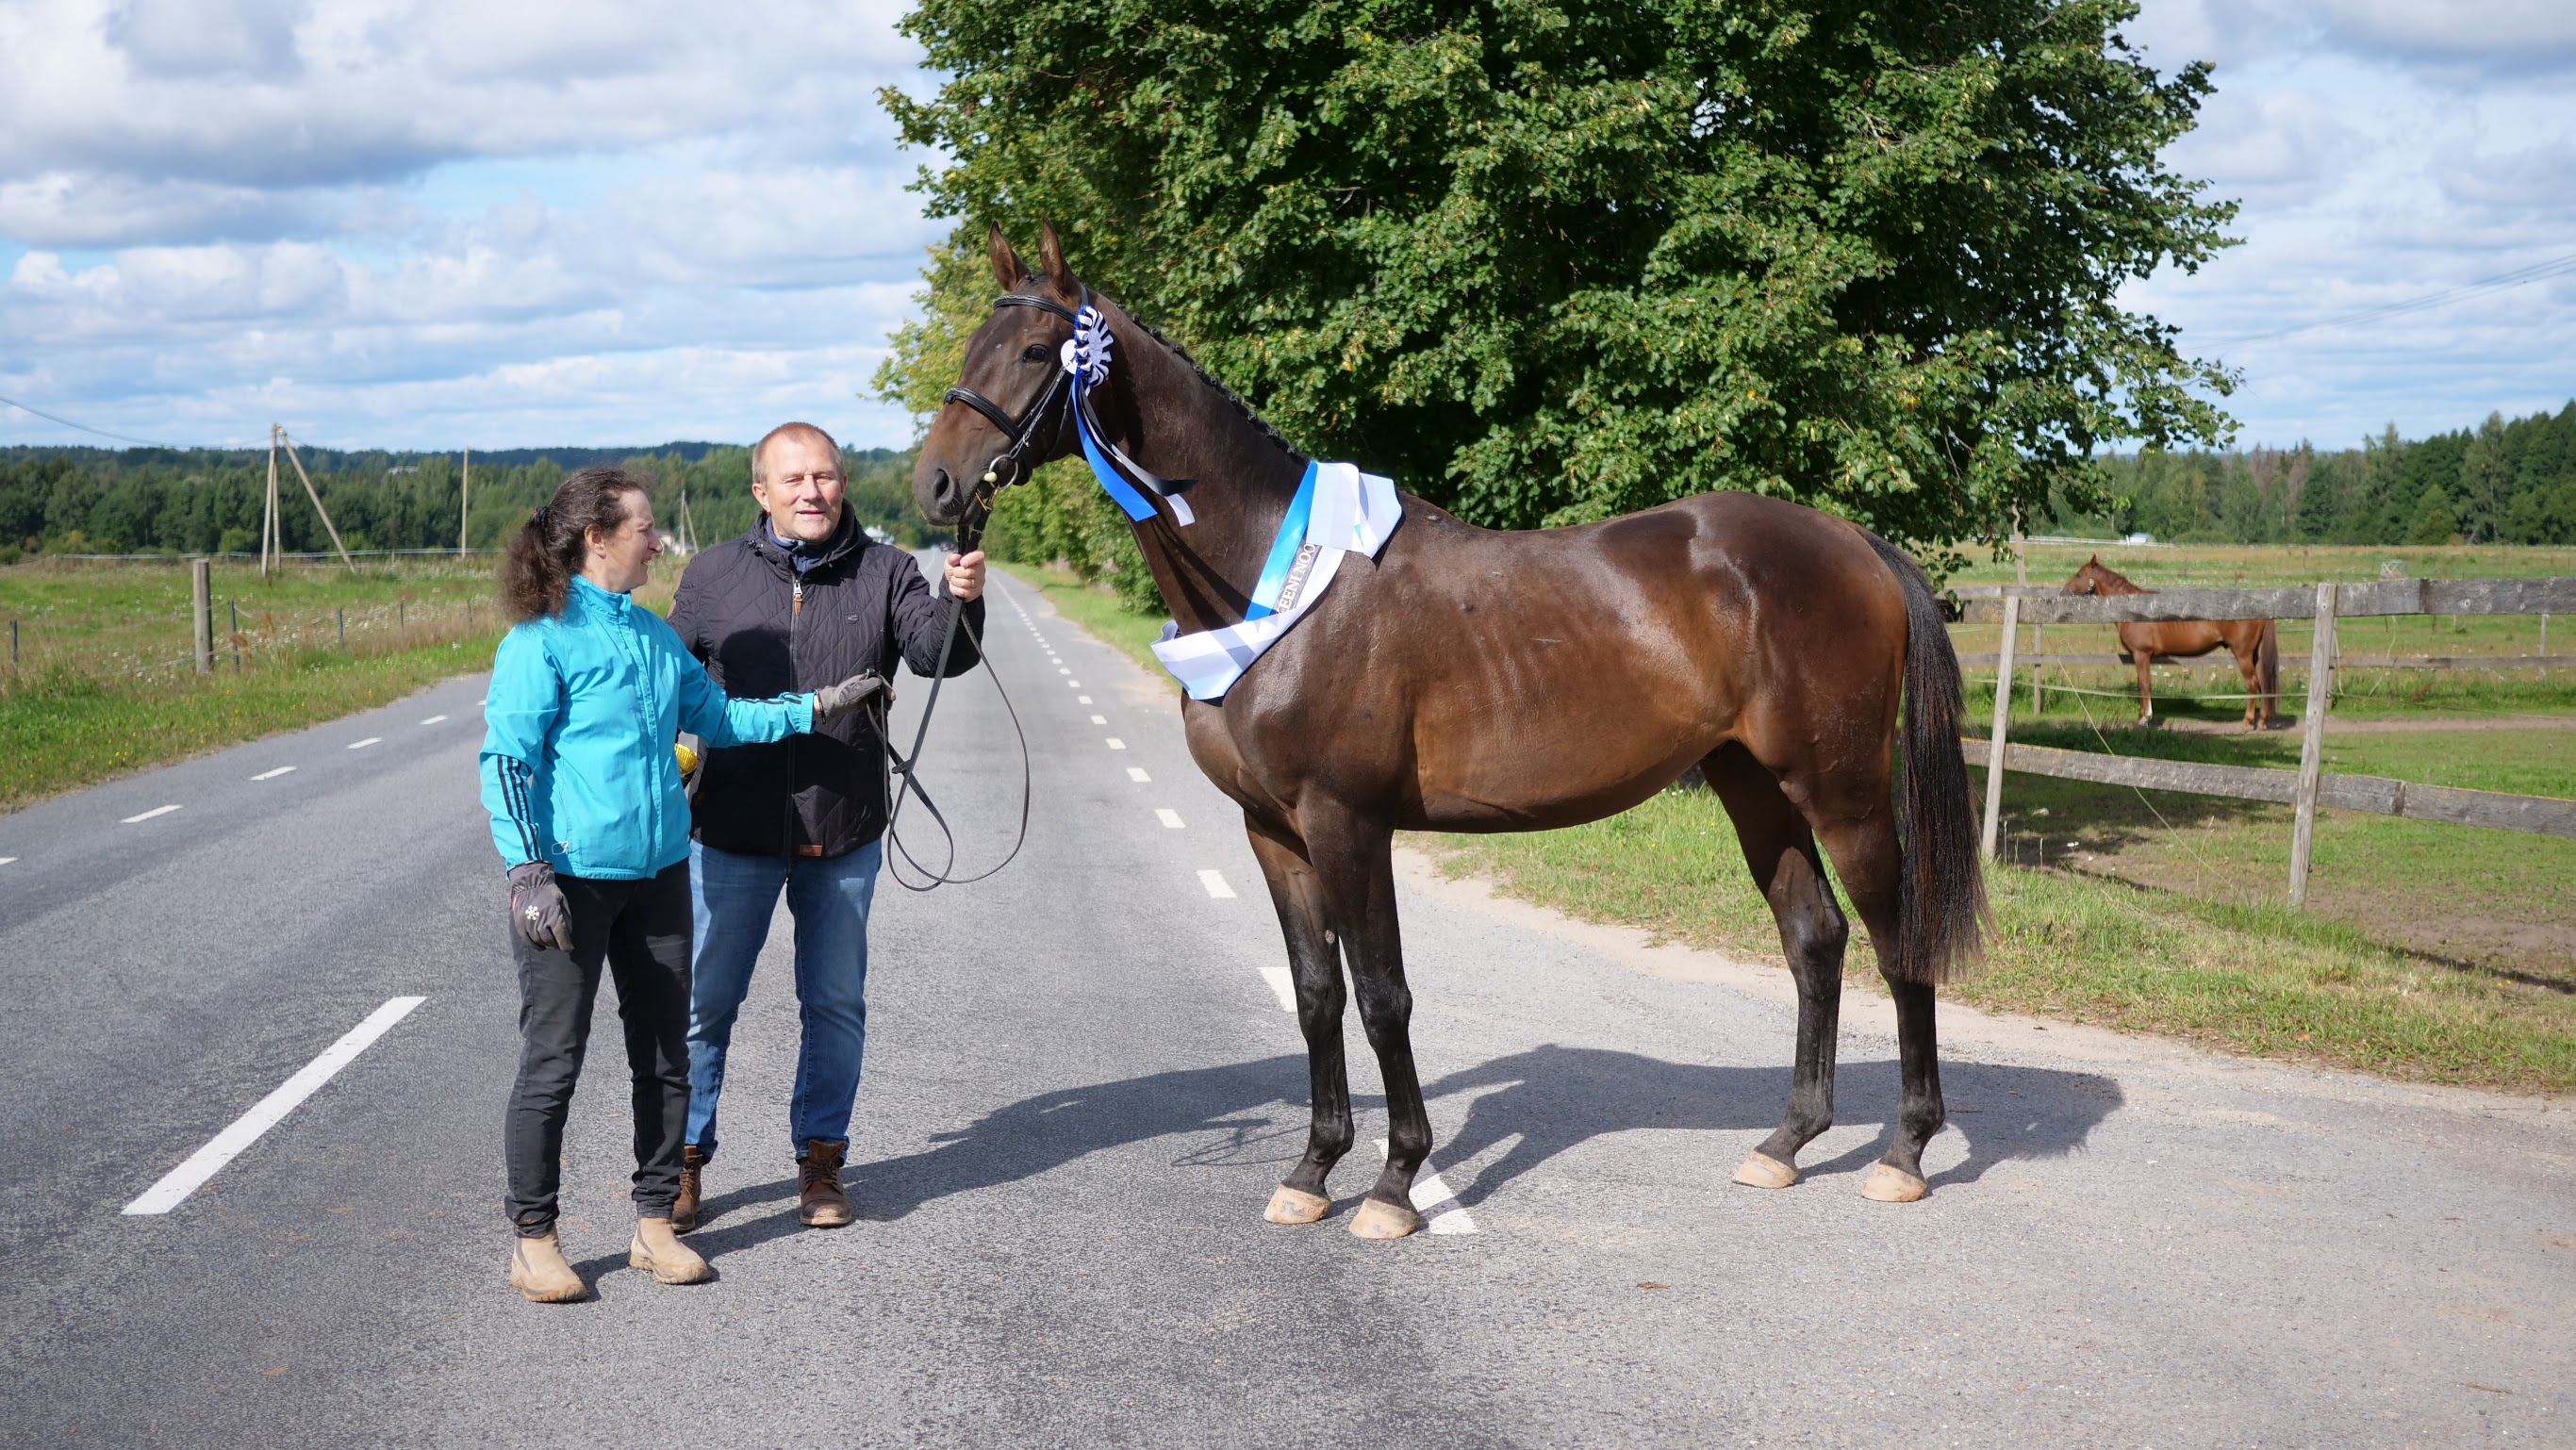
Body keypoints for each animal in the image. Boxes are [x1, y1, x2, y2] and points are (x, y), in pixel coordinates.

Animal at [922, 226, 1989, 1236]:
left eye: (1033, 350)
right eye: (973, 345)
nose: (936, 487)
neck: (1275, 579)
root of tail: (1853, 542)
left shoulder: (1348, 821)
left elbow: (1382, 994)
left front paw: (1395, 1183)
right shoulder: (1271, 830)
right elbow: (1316, 993)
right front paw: (1311, 1171)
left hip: (1842, 791)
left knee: (1898, 944)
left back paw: (1903, 1151)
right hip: (1751, 783)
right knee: (1813, 937)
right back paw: (1785, 1141)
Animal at [2060, 558, 2287, 736]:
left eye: (2079, 575)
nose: (2062, 593)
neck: (2134, 610)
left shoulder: (2141, 655)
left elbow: (2144, 685)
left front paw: (2145, 719)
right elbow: (2140, 684)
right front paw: (2141, 717)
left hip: (2242, 654)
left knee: (2252, 684)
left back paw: (2247, 722)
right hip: (2253, 655)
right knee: (2262, 683)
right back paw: (2261, 721)